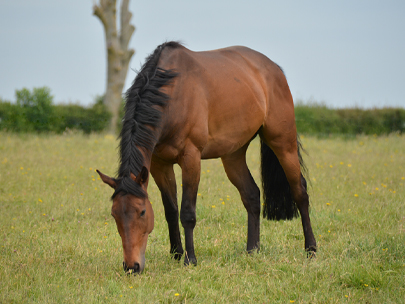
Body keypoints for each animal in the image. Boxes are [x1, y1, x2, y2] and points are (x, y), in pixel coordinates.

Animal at [97, 41, 316, 274]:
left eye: (142, 212)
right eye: (114, 214)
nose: (132, 266)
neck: (172, 95)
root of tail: (274, 69)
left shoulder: (191, 159)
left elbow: (187, 212)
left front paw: (190, 259)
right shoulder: (159, 164)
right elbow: (170, 210)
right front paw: (176, 254)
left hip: (283, 144)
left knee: (300, 192)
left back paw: (310, 249)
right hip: (233, 155)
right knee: (251, 195)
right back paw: (252, 249)